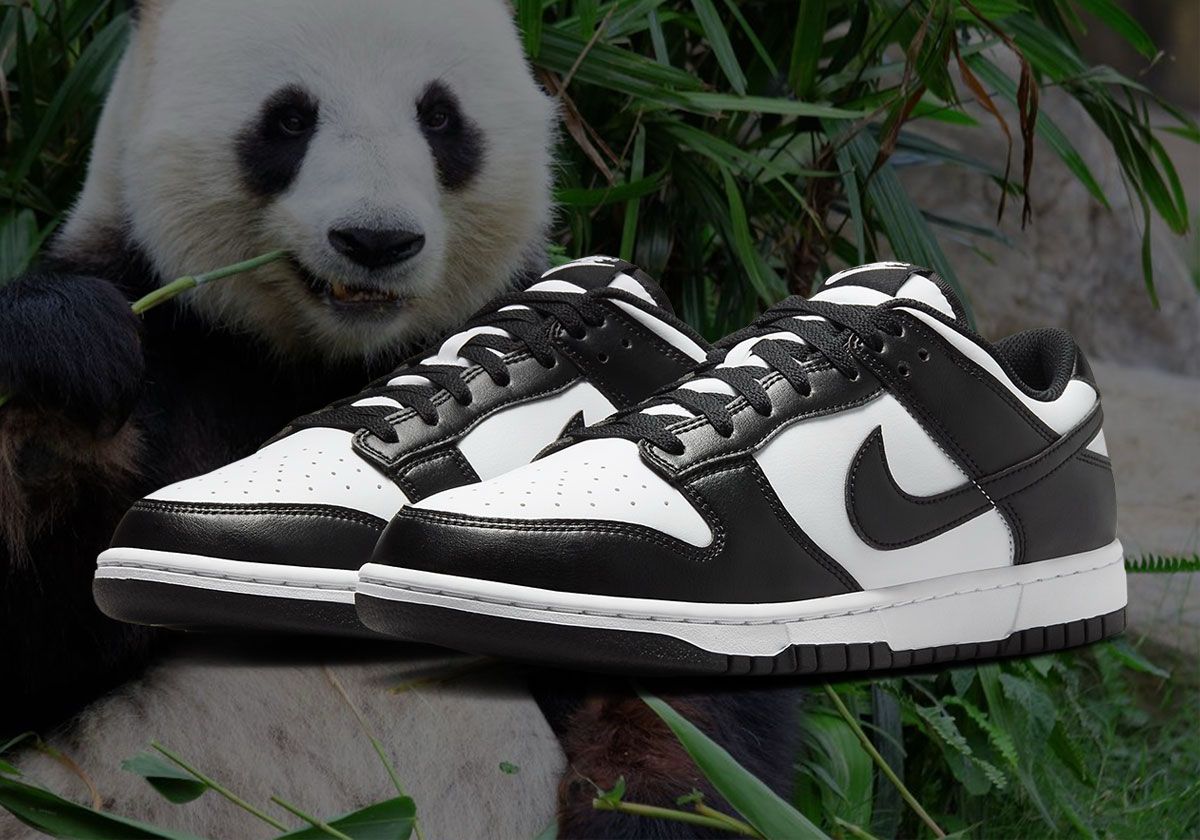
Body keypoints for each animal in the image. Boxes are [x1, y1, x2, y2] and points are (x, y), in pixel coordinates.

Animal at [0, 1, 800, 837]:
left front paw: (647, 808)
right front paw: (59, 384)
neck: (330, 361)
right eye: (290, 118)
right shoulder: (181, 356)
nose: (376, 241)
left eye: (439, 116)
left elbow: (680, 681)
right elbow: (40, 647)